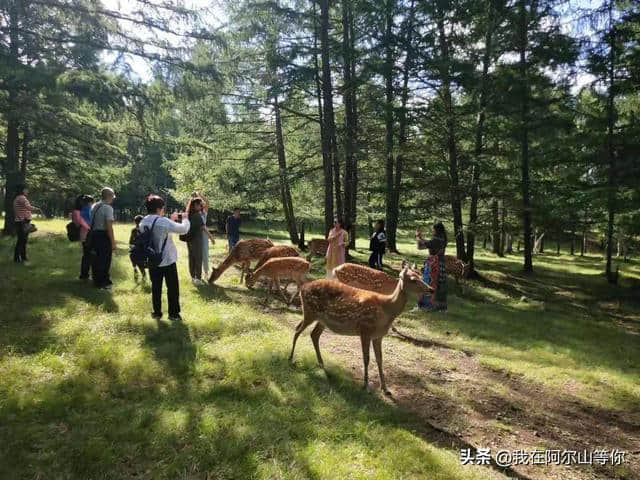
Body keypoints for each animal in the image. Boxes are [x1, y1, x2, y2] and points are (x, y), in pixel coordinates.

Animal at [288, 266, 430, 394]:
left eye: (421, 276)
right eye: (413, 279)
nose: (431, 289)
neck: (386, 309)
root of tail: (303, 288)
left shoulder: (378, 336)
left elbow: (380, 359)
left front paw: (385, 389)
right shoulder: (365, 329)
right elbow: (366, 358)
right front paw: (366, 386)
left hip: (321, 320)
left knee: (313, 334)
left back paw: (321, 364)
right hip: (310, 311)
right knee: (297, 330)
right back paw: (291, 358)